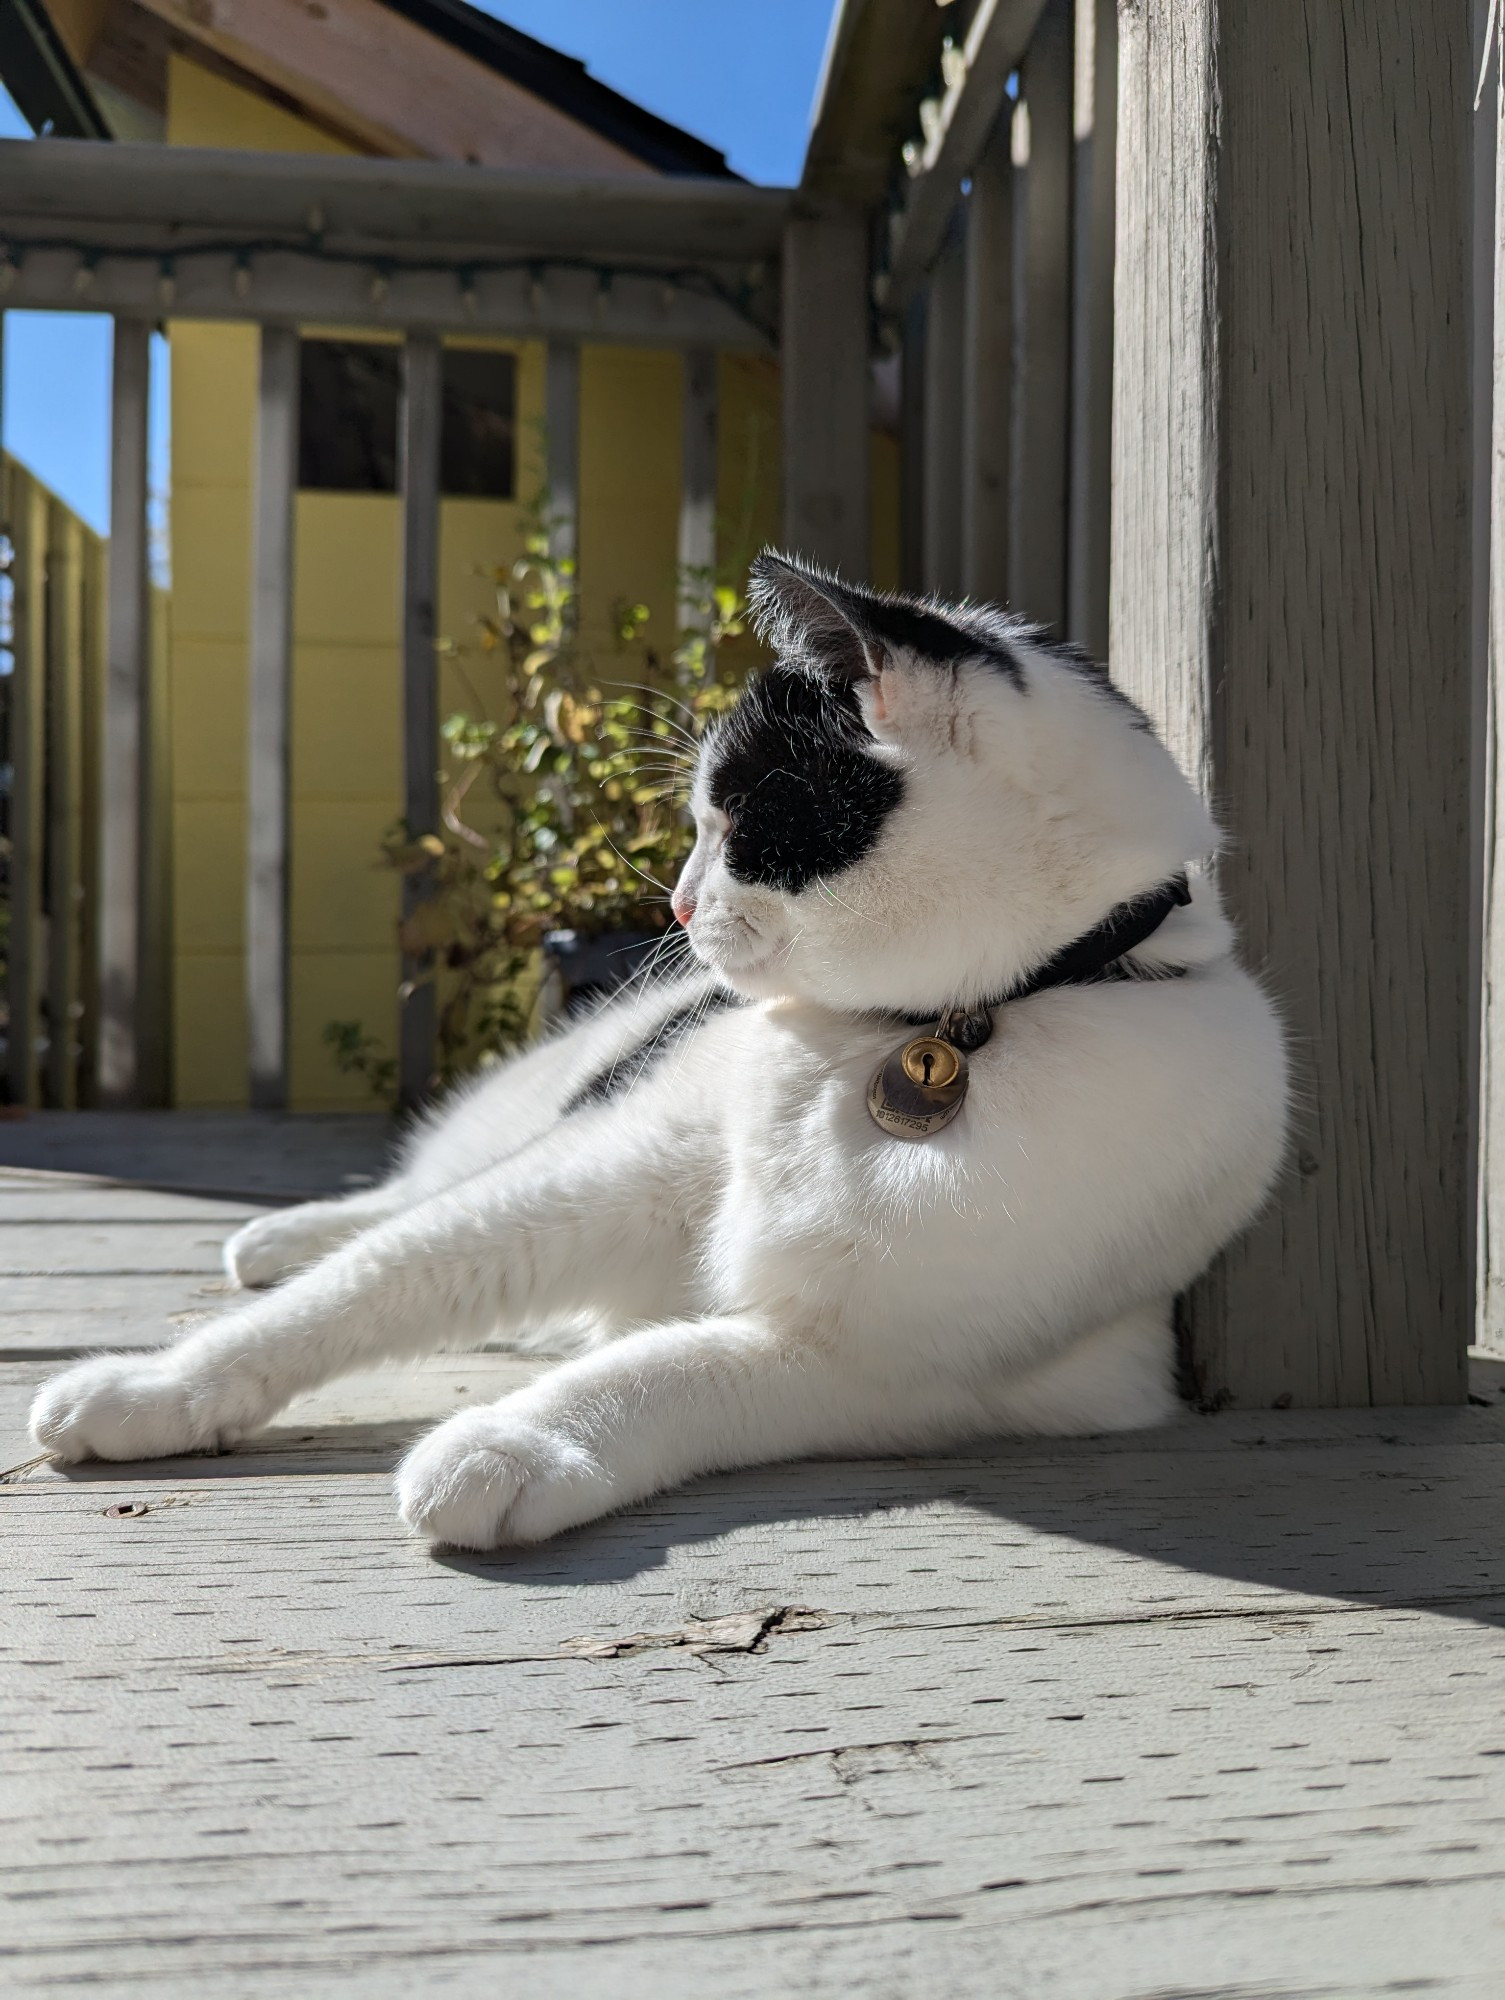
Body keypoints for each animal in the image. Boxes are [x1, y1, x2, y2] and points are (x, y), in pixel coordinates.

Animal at [29, 556, 1288, 1552]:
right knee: (407, 1199)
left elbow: (667, 1367)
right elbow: (382, 1278)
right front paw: (152, 1386)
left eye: (731, 819)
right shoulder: (605, 1172)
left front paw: (516, 1443)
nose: (676, 905)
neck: (927, 1027)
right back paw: (281, 1238)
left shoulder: (901, 1363)